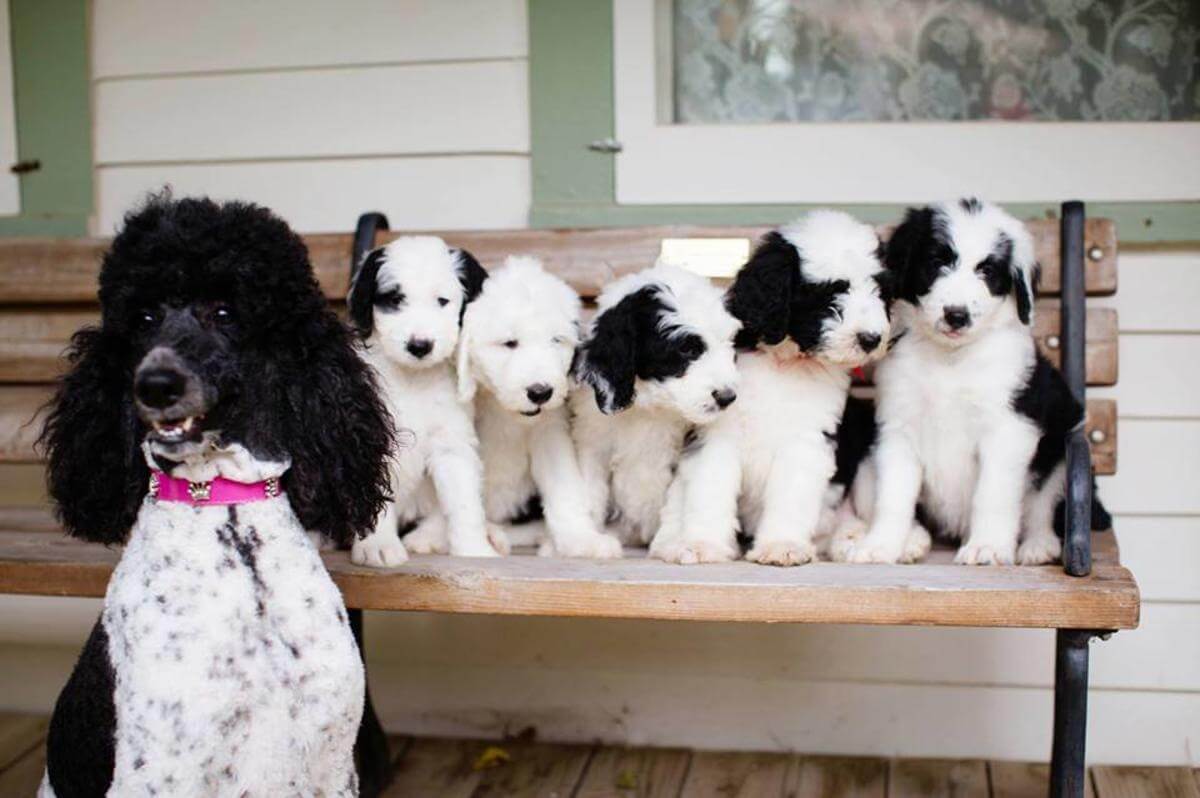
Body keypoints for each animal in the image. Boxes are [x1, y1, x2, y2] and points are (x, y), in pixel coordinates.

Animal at [345, 234, 504, 564]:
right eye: (395, 300)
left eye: (442, 301)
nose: (420, 346)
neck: (413, 380)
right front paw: (377, 546)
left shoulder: (452, 442)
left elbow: (464, 502)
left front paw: (473, 549)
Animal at [456, 258, 624, 556]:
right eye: (510, 343)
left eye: (556, 340)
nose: (540, 392)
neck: (511, 416)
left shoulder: (550, 432)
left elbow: (564, 487)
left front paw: (582, 539)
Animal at [568, 264, 739, 544]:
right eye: (686, 350)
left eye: (729, 345)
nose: (727, 397)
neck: (651, 406)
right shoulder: (591, 441)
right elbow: (590, 490)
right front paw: (584, 541)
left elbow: (677, 500)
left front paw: (670, 544)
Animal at [648, 208, 907, 564]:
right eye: (829, 295)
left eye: (879, 292)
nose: (871, 339)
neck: (786, 364)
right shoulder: (717, 432)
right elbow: (709, 491)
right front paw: (703, 545)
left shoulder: (806, 438)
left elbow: (791, 495)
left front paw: (782, 546)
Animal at [830, 195, 1108, 564]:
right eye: (936, 261)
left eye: (986, 271)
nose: (956, 315)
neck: (951, 360)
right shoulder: (898, 427)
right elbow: (893, 496)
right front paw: (880, 545)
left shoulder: (1008, 429)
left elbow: (992, 495)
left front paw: (987, 546)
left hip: (1061, 441)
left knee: (1044, 505)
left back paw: (1038, 546)